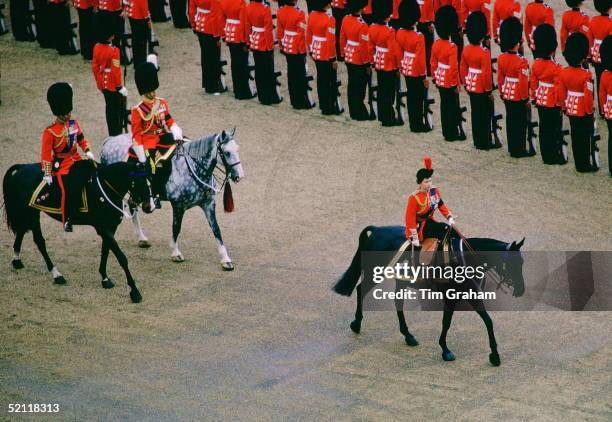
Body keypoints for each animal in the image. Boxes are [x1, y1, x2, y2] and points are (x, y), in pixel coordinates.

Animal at [2, 162, 153, 304]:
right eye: (140, 182)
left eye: (151, 182)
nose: (149, 207)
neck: (106, 188)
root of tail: (22, 167)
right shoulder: (103, 228)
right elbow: (121, 257)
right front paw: (134, 291)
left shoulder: (110, 228)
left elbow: (105, 251)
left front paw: (104, 278)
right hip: (31, 212)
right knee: (39, 241)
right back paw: (56, 274)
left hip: (28, 211)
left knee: (21, 231)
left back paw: (17, 260)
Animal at [100, 129, 244, 272]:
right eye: (227, 152)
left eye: (237, 149)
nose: (239, 176)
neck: (192, 168)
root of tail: (109, 141)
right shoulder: (178, 205)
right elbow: (176, 228)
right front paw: (176, 253)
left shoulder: (208, 204)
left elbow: (216, 230)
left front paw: (225, 259)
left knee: (131, 205)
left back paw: (141, 238)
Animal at [334, 224, 524, 366]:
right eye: (512, 263)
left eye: (522, 262)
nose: (521, 290)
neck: (465, 259)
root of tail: (377, 229)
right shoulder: (451, 297)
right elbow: (446, 322)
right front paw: (445, 350)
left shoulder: (472, 296)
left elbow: (488, 321)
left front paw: (495, 355)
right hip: (375, 273)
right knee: (361, 290)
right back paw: (356, 324)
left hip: (400, 280)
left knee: (397, 303)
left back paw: (408, 335)